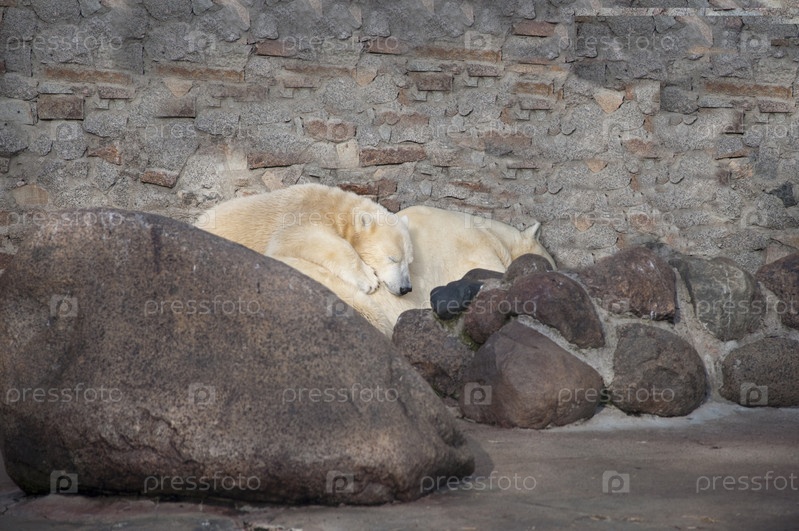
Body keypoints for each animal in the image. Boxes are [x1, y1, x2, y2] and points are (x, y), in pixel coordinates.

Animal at [195, 183, 414, 297]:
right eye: (392, 258)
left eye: (409, 261)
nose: (406, 288)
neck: (338, 209)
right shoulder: (302, 215)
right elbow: (299, 238)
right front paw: (369, 279)